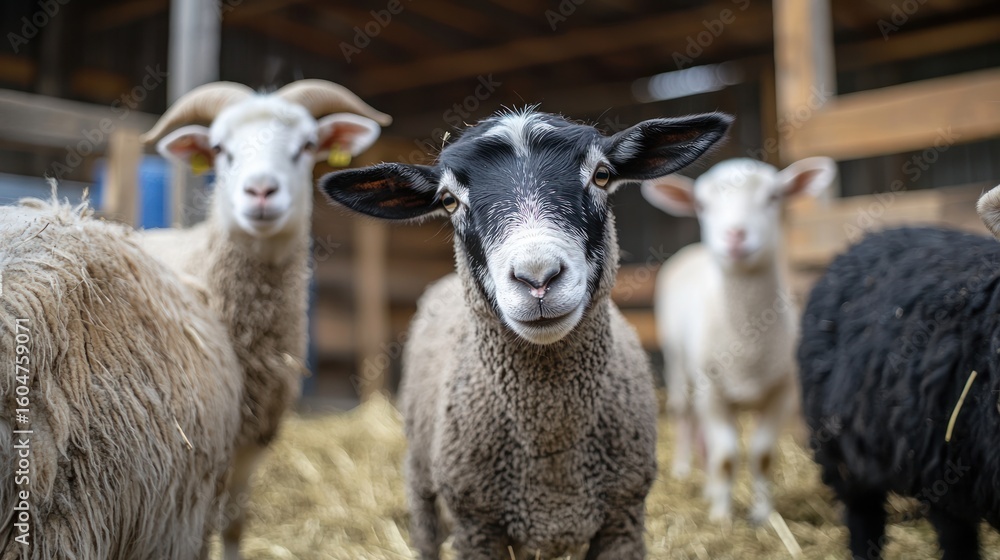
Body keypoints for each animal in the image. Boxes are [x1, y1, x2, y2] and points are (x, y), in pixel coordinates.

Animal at [319, 108, 732, 559]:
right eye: (448, 200)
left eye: (602, 175)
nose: (538, 278)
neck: (551, 445)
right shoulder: (477, 526)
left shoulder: (623, 518)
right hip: (421, 480)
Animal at [640, 157, 836, 523]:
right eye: (702, 205)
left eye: (774, 197)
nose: (734, 235)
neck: (747, 343)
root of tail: (693, 250)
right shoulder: (712, 390)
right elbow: (727, 456)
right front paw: (721, 516)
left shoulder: (782, 391)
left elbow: (761, 455)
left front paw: (762, 515)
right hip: (677, 360)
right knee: (683, 411)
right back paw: (685, 470)